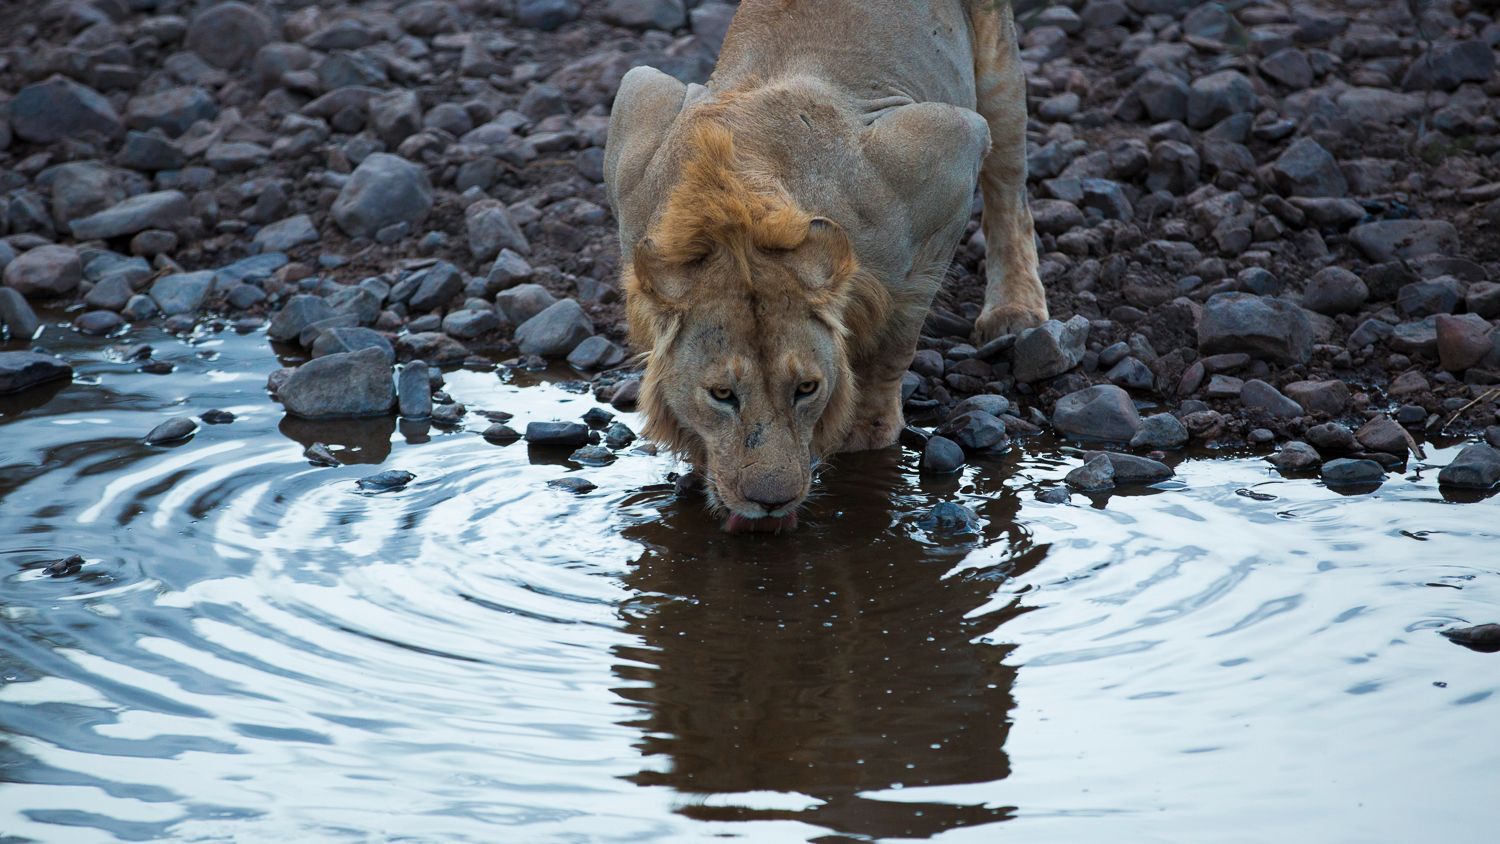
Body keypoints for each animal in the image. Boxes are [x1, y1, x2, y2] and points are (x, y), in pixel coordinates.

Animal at [603, 0, 1046, 532]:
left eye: (807, 389)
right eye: (722, 394)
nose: (770, 502)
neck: (737, 223)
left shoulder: (950, 147)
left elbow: (895, 339)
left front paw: (865, 433)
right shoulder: (638, 100)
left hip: (996, 70)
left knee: (1010, 188)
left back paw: (1015, 311)